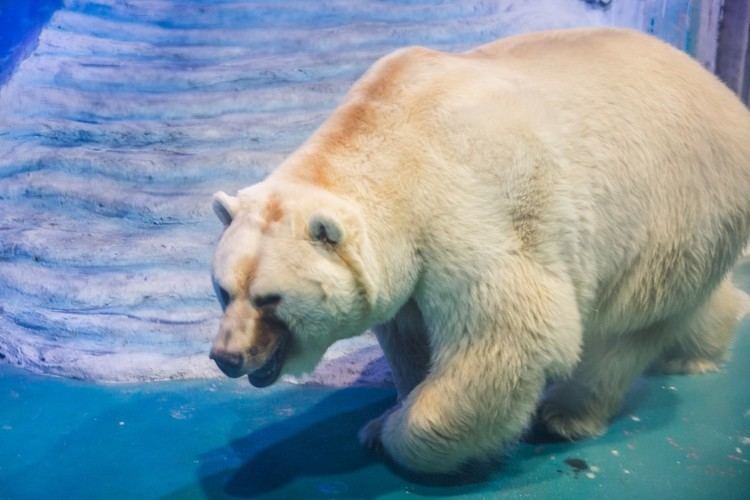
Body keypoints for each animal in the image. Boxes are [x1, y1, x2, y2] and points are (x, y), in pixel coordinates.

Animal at [209, 27, 750, 472]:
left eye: (270, 299)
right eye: (223, 291)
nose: (226, 357)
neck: (394, 134)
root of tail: (722, 93)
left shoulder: (471, 209)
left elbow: (509, 334)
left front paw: (391, 430)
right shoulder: (411, 259)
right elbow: (409, 334)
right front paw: (390, 409)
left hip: (667, 208)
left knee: (623, 332)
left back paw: (566, 413)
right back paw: (701, 347)